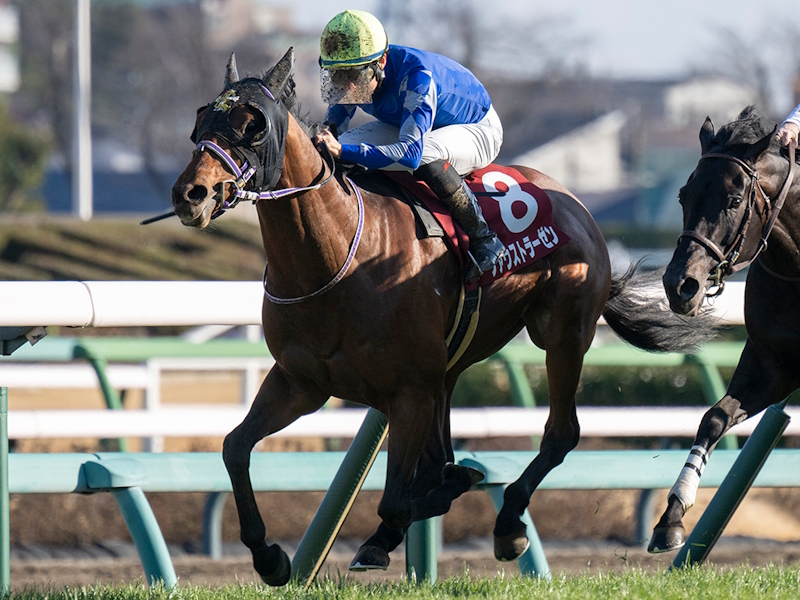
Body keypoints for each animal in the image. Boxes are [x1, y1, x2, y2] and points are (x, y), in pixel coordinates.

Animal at [171, 48, 715, 585]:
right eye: (200, 122)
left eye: (252, 125)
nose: (190, 194)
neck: (336, 256)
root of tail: (575, 203)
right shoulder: (300, 383)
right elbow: (235, 447)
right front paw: (269, 556)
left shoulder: (409, 389)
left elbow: (397, 499)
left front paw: (383, 538)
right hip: (453, 367)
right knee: (447, 454)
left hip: (561, 333)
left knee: (561, 433)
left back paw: (508, 521)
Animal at [648, 106, 798, 554]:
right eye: (683, 195)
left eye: (733, 200)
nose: (680, 285)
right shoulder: (772, 366)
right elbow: (714, 418)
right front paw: (671, 519)